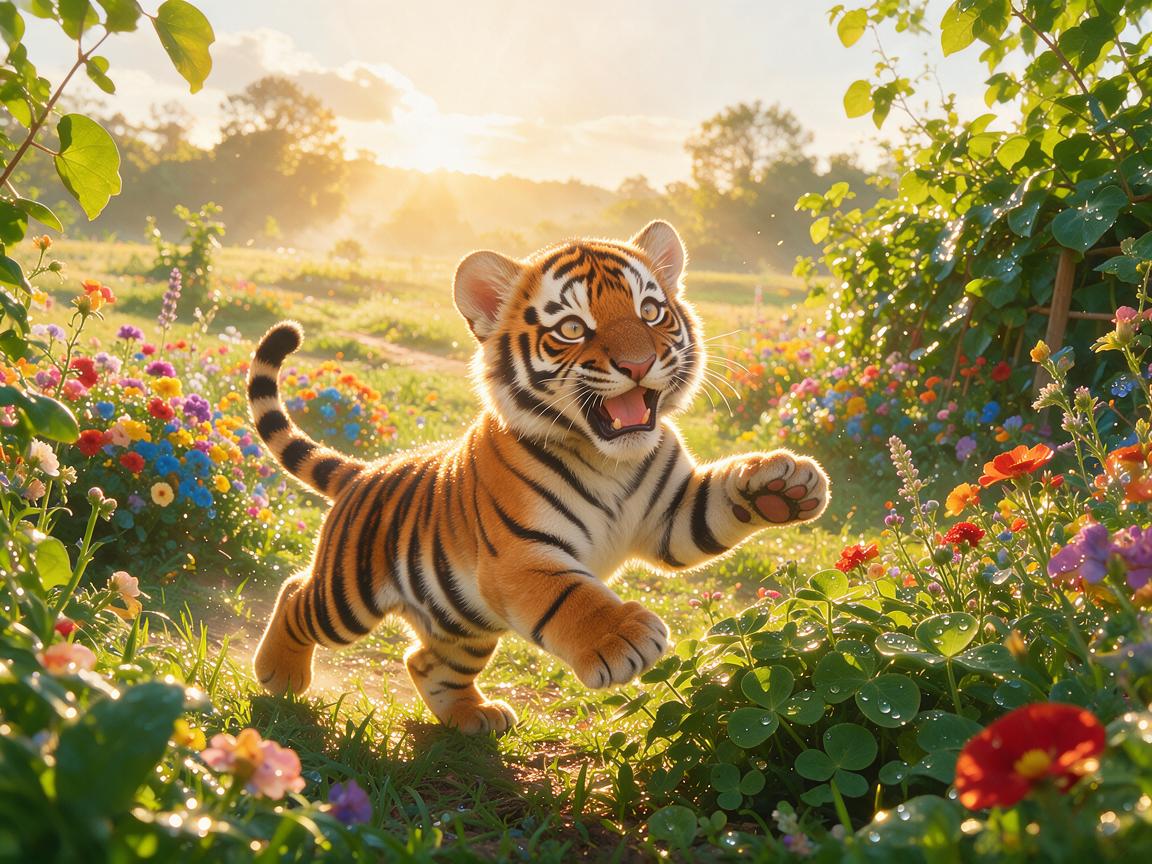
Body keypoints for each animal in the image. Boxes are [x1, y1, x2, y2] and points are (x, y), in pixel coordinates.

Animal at [248, 220, 829, 734]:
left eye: (650, 311)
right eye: (572, 328)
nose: (639, 365)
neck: (609, 459)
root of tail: (366, 471)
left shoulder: (672, 516)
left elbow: (717, 501)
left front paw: (783, 483)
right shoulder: (522, 554)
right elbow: (574, 596)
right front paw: (624, 637)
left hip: (464, 623)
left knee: (425, 662)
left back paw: (473, 718)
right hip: (349, 595)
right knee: (296, 595)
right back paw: (279, 675)